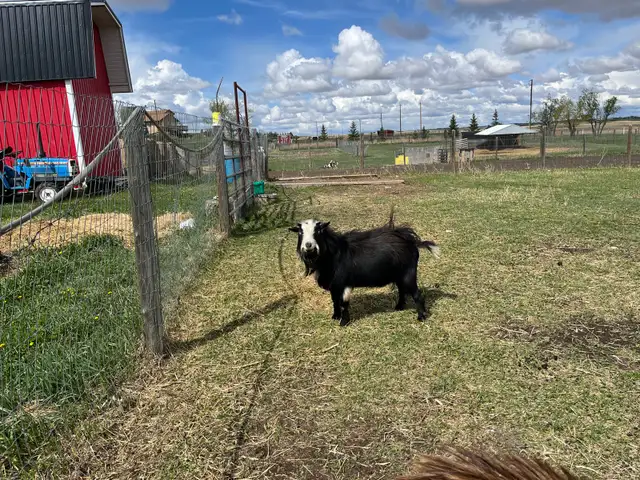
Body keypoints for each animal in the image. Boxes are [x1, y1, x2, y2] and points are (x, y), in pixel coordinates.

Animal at [288, 212, 439, 326]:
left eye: (318, 231)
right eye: (300, 232)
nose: (308, 245)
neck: (334, 254)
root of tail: (411, 241)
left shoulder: (345, 283)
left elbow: (343, 303)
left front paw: (344, 322)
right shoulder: (334, 285)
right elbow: (335, 301)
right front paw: (335, 316)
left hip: (409, 274)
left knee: (417, 294)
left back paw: (421, 317)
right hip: (399, 275)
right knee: (402, 290)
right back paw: (399, 307)